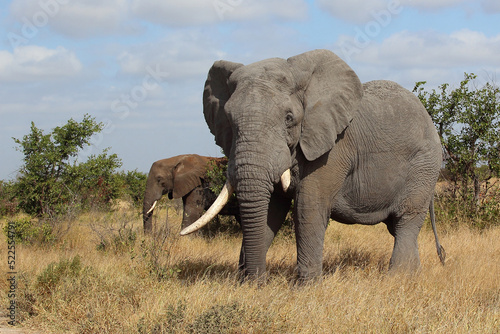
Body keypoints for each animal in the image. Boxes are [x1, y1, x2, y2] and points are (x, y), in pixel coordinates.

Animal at [183, 48, 446, 280]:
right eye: (228, 119)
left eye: (289, 119)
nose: (258, 280)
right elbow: (271, 211)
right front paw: (247, 284)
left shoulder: (333, 149)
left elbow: (307, 207)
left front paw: (305, 288)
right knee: (398, 227)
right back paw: (413, 275)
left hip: (424, 166)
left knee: (405, 221)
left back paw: (397, 279)